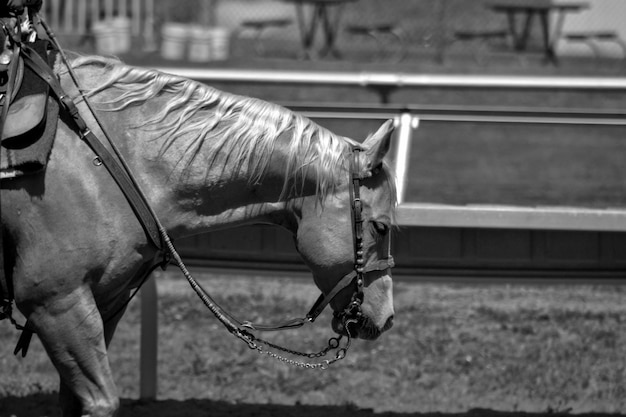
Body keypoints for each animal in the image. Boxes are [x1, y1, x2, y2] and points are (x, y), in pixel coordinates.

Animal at [1, 52, 394, 416]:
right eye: (381, 226)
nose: (387, 317)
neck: (111, 159)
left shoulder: (104, 302)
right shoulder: (56, 303)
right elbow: (102, 401)